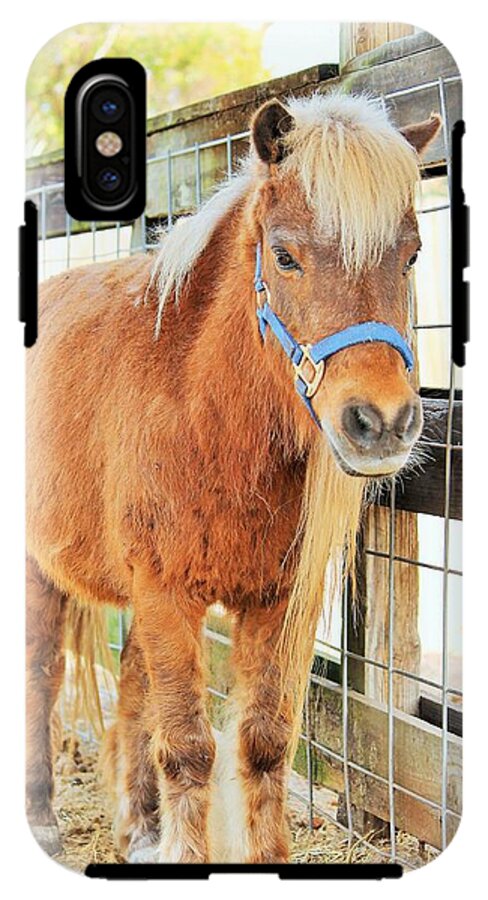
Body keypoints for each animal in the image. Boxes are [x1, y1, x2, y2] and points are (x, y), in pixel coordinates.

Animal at [26, 92, 441, 864]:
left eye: (412, 255)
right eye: (284, 255)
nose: (382, 422)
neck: (203, 412)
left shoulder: (273, 602)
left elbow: (264, 743)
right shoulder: (165, 593)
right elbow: (189, 748)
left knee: (133, 687)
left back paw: (140, 827)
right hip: (43, 570)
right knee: (42, 673)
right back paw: (40, 816)